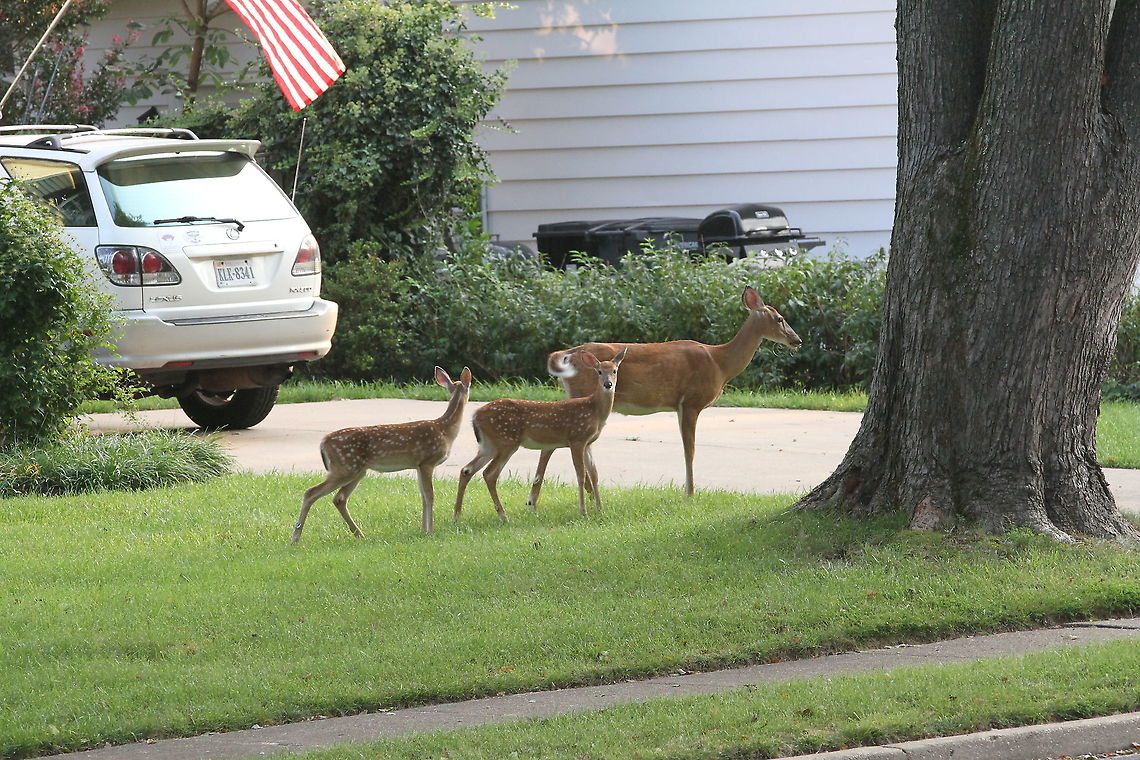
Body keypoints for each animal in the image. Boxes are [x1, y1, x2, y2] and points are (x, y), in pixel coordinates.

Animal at [291, 366, 473, 542]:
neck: (445, 430)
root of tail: (323, 442)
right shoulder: (427, 461)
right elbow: (430, 495)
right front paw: (429, 531)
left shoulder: (418, 465)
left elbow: (422, 495)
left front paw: (423, 530)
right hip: (345, 467)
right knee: (311, 493)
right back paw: (295, 537)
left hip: (357, 470)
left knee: (339, 498)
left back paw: (359, 534)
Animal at [454, 348, 627, 523]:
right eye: (599, 372)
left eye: (614, 371)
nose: (608, 384)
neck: (595, 410)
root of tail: (475, 415)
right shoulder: (576, 438)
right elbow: (581, 475)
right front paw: (583, 511)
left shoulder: (588, 443)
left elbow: (594, 474)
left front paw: (600, 509)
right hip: (507, 441)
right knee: (489, 474)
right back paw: (503, 516)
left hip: (488, 444)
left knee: (467, 470)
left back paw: (457, 516)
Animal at [530, 286, 801, 502]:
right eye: (779, 318)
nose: (797, 340)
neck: (720, 363)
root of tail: (567, 354)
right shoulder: (691, 401)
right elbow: (690, 449)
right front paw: (690, 493)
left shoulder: (680, 405)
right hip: (582, 394)